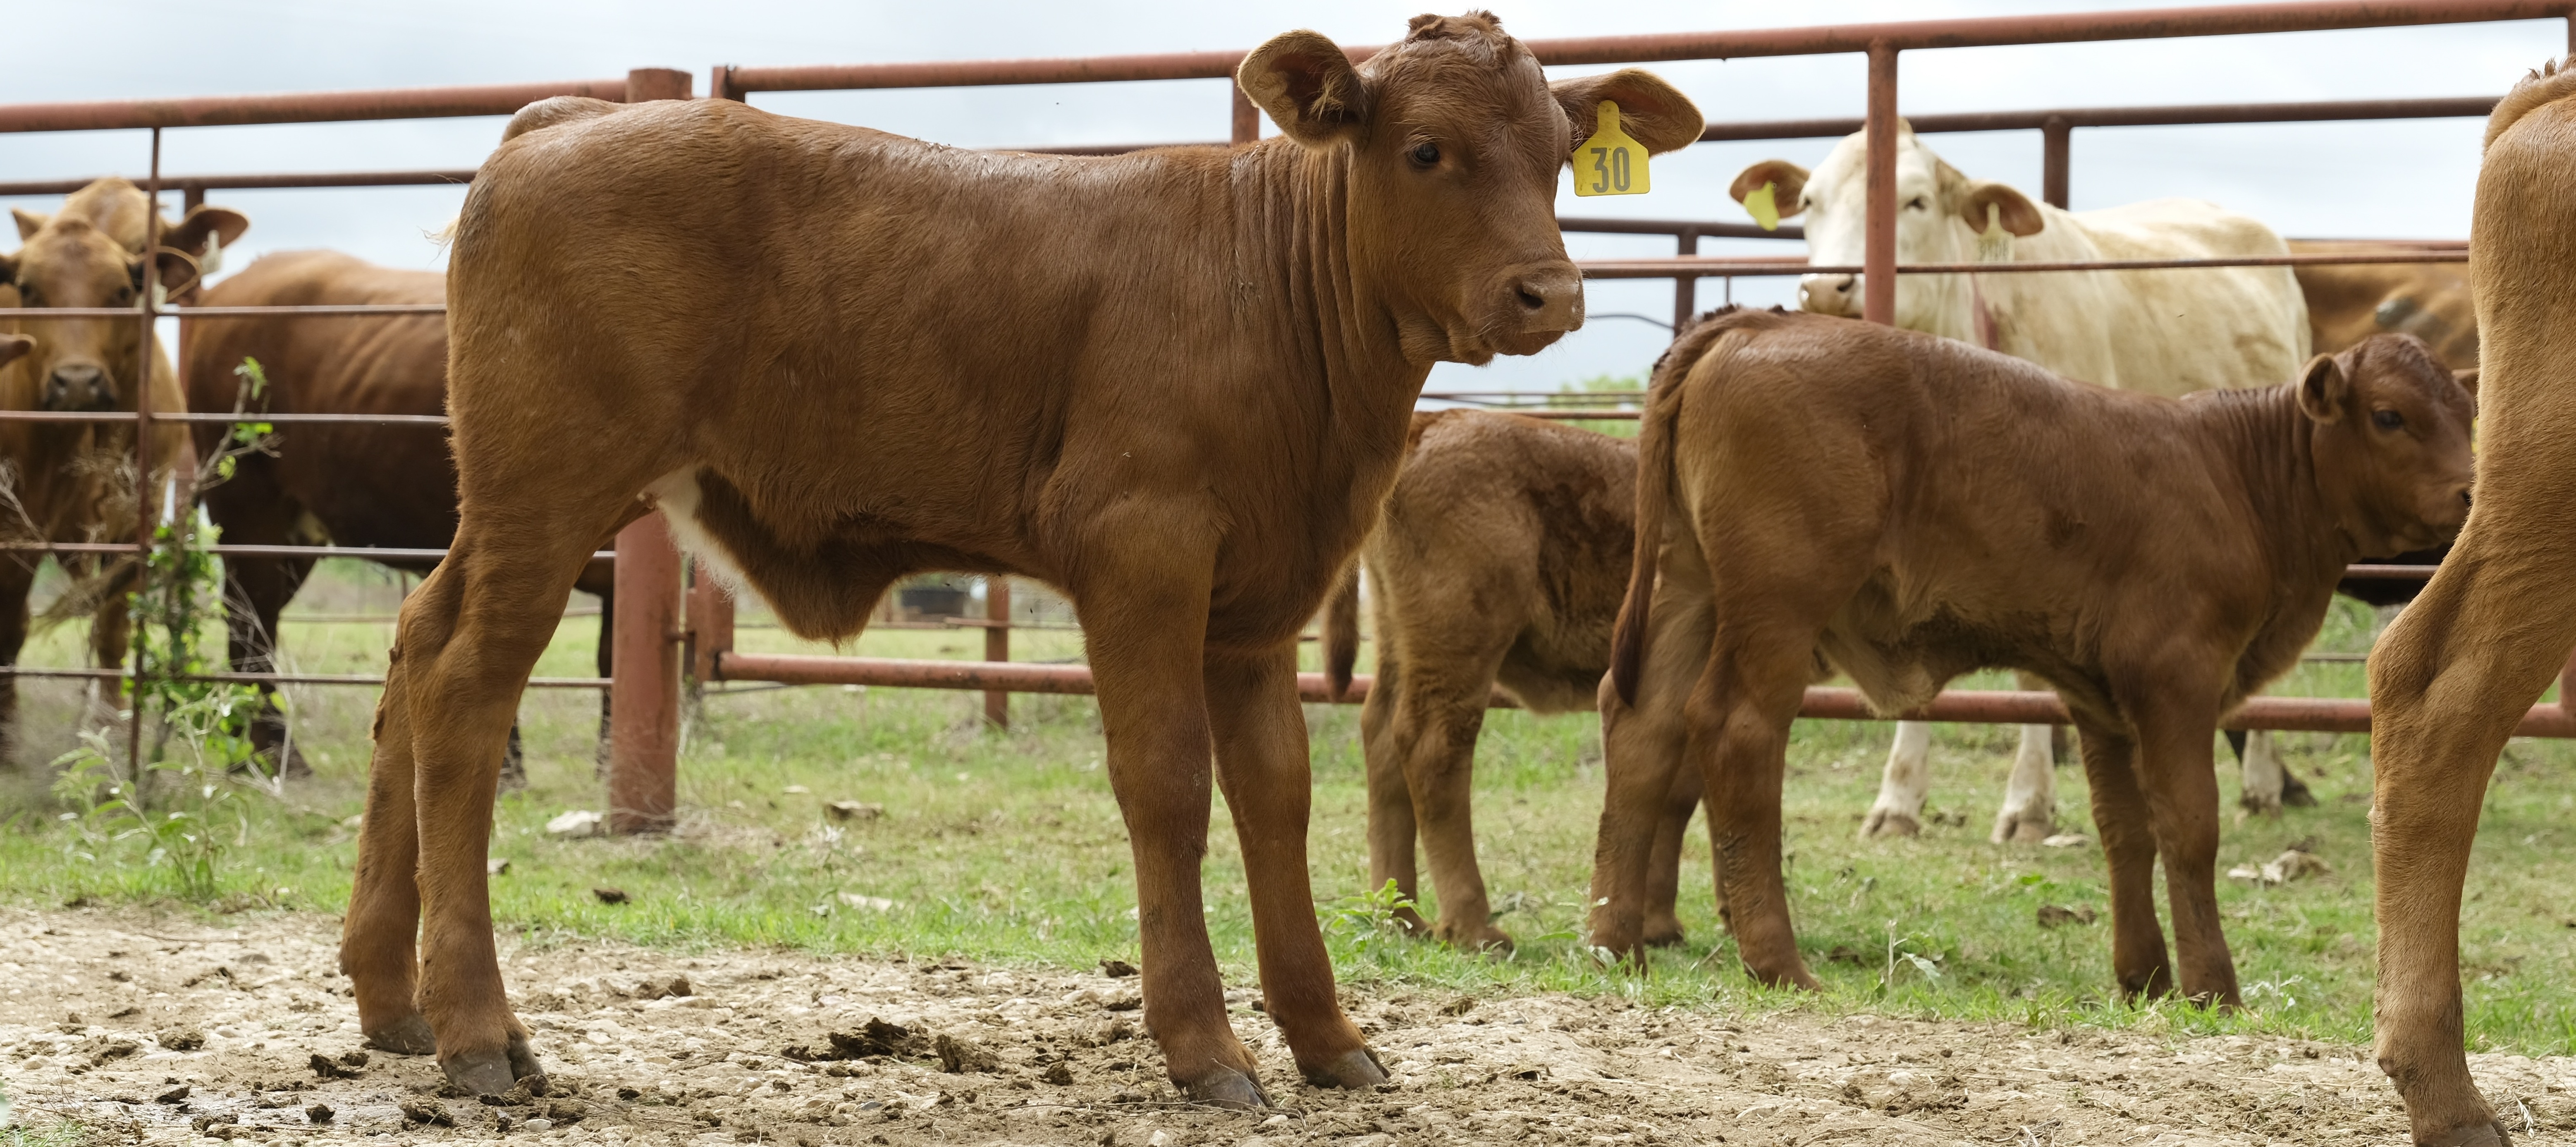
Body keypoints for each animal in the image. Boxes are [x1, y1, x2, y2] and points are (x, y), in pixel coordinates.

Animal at [0, 178, 246, 757]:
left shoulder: (139, 514)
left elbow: (113, 622)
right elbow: (15, 623)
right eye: (29, 289)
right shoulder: (27, 523)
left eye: (138, 259)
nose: (77, 381)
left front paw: (110, 719)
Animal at [1321, 410, 1699, 952]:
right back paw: (1472, 927)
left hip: (1400, 640)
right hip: (1461, 642)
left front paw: (1659, 924)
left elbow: (1676, 792)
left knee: (1381, 736)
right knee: (1433, 747)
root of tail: (1430, 421)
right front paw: (1660, 925)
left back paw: (1402, 919)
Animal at [1587, 309, 2471, 1009]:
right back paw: (1777, 960)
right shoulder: (2176, 679)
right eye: (2390, 416)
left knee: (1641, 724)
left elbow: (2125, 830)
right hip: (1777, 604)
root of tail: (1754, 325)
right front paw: (2212, 985)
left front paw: (2145, 976)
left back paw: (1614, 939)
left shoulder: (2100, 698)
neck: (2239, 478)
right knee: (1735, 729)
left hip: (1689, 588)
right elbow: (2189, 826)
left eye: (2466, 410)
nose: (2471, 492)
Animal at [1728, 121, 2314, 841]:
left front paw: (2029, 802)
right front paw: (1898, 799)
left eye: (1915, 201)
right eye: (1808, 203)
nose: (1825, 290)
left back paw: (2261, 782)